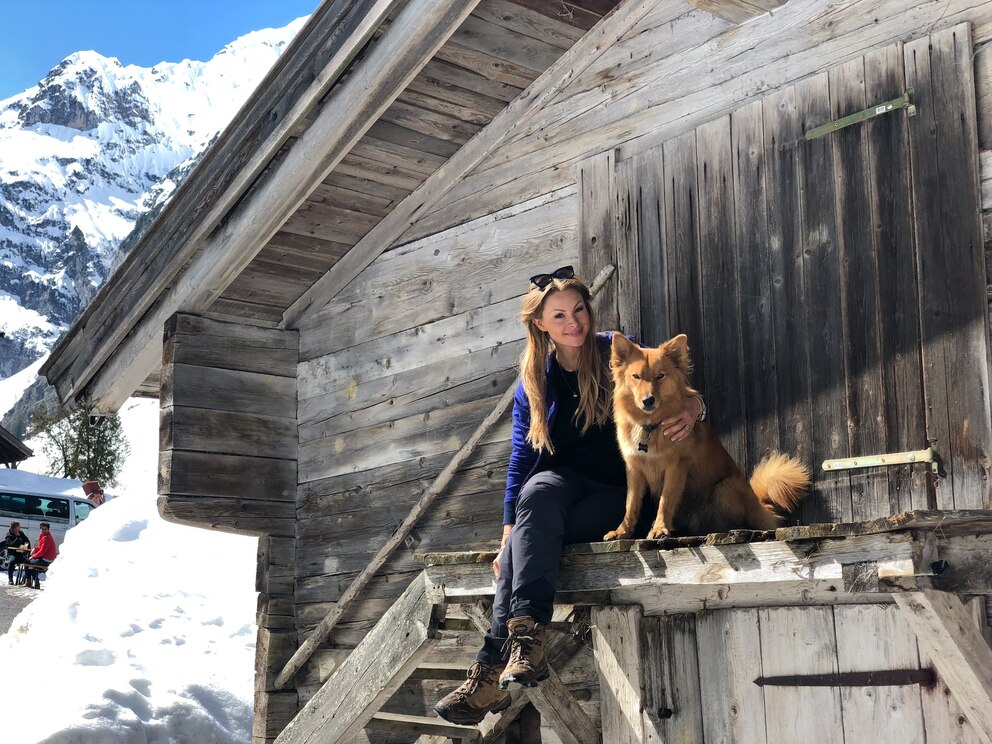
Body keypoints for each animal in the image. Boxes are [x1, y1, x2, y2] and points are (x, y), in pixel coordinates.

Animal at [604, 332, 808, 540]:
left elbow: (665, 500)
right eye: (636, 376)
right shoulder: (634, 468)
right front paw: (622, 531)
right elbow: (631, 504)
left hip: (726, 487)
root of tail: (760, 505)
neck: (651, 425)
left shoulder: (676, 466)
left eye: (660, 376)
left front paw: (660, 528)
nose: (648, 400)